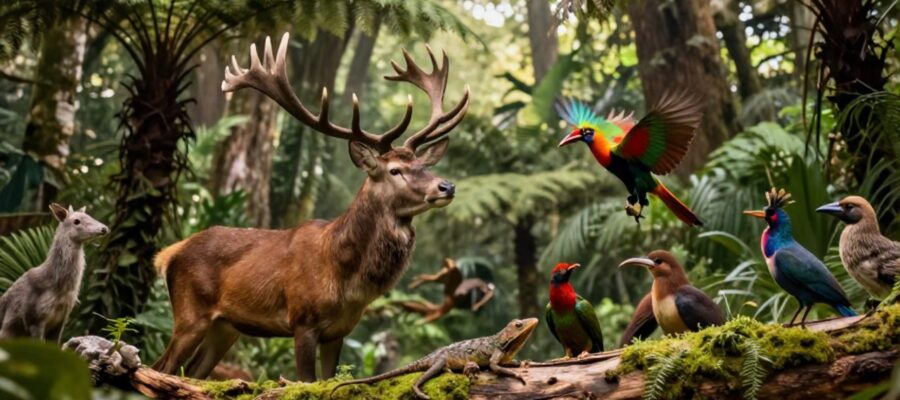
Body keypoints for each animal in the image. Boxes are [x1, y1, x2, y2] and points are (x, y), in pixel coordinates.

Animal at [151, 33, 469, 382]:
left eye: (424, 166)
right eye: (394, 170)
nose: (447, 186)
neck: (347, 280)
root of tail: (169, 254)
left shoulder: (340, 331)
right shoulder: (302, 320)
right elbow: (305, 380)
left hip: (226, 327)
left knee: (192, 372)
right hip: (190, 313)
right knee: (160, 367)